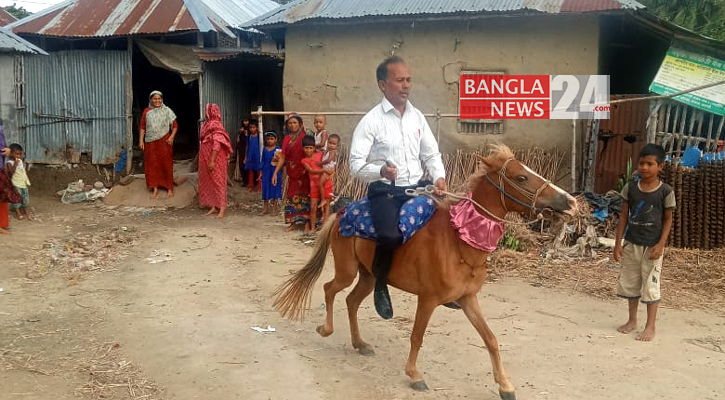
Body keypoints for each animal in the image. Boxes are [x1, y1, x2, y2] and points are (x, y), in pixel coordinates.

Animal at [272, 146, 576, 400]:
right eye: (521, 177)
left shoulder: (468, 299)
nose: (570, 202)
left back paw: (359, 343)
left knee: (351, 301)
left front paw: (505, 385)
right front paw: (414, 375)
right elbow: (417, 336)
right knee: (329, 289)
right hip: (347, 270)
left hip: (369, 276)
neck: (459, 241)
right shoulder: (428, 299)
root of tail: (341, 211)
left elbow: (490, 339)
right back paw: (326, 329)